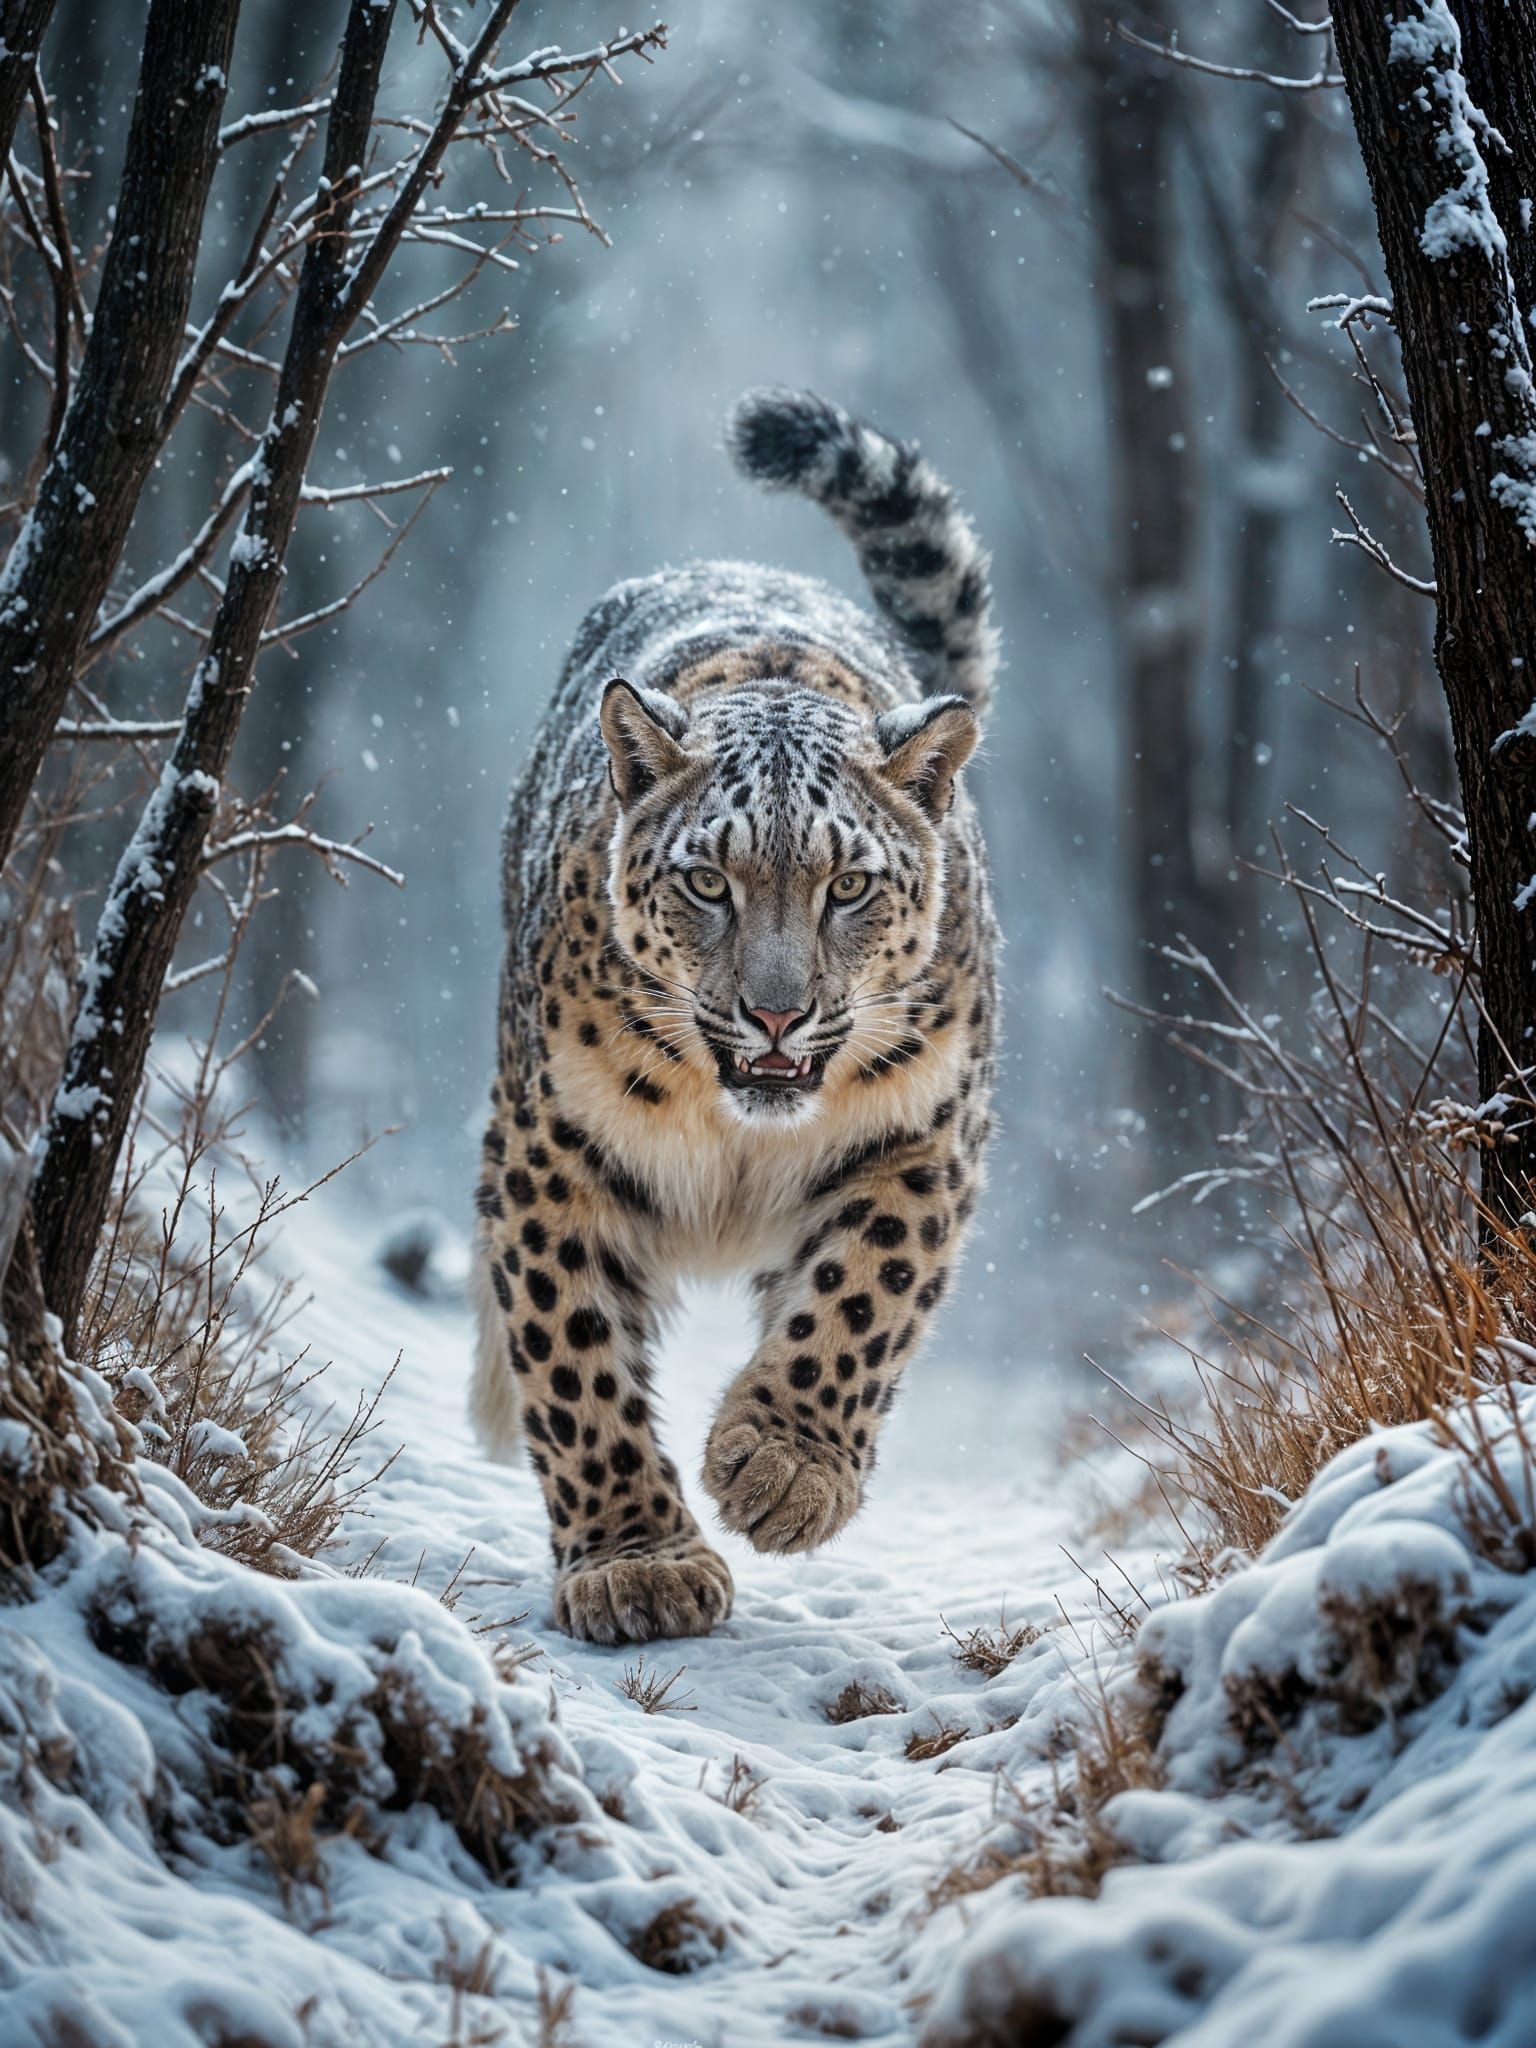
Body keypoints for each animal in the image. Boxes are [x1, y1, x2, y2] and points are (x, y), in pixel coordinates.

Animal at [470, 386, 1000, 1644]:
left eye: (847, 886)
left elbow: (866, 1291)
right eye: (709, 882)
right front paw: (637, 1562)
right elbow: (572, 1349)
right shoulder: (549, 1143)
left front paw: (781, 1466)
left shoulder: (927, 1130)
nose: (774, 1013)